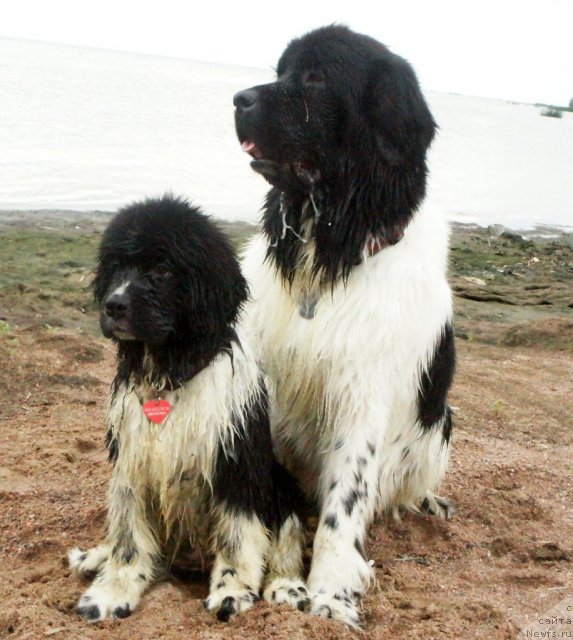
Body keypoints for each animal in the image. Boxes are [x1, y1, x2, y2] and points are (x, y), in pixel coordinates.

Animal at [69, 196, 308, 624]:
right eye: (117, 267)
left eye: (163, 269)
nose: (114, 305)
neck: (169, 375)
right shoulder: (131, 463)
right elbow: (128, 541)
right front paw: (112, 591)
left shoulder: (236, 462)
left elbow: (237, 536)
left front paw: (232, 590)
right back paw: (95, 556)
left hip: (280, 480)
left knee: (286, 538)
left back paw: (286, 585)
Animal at [235, 27, 454, 628]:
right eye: (281, 71)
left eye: (316, 78)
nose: (239, 99)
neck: (332, 255)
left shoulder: (364, 389)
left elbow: (348, 497)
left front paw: (331, 591)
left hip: (441, 422)